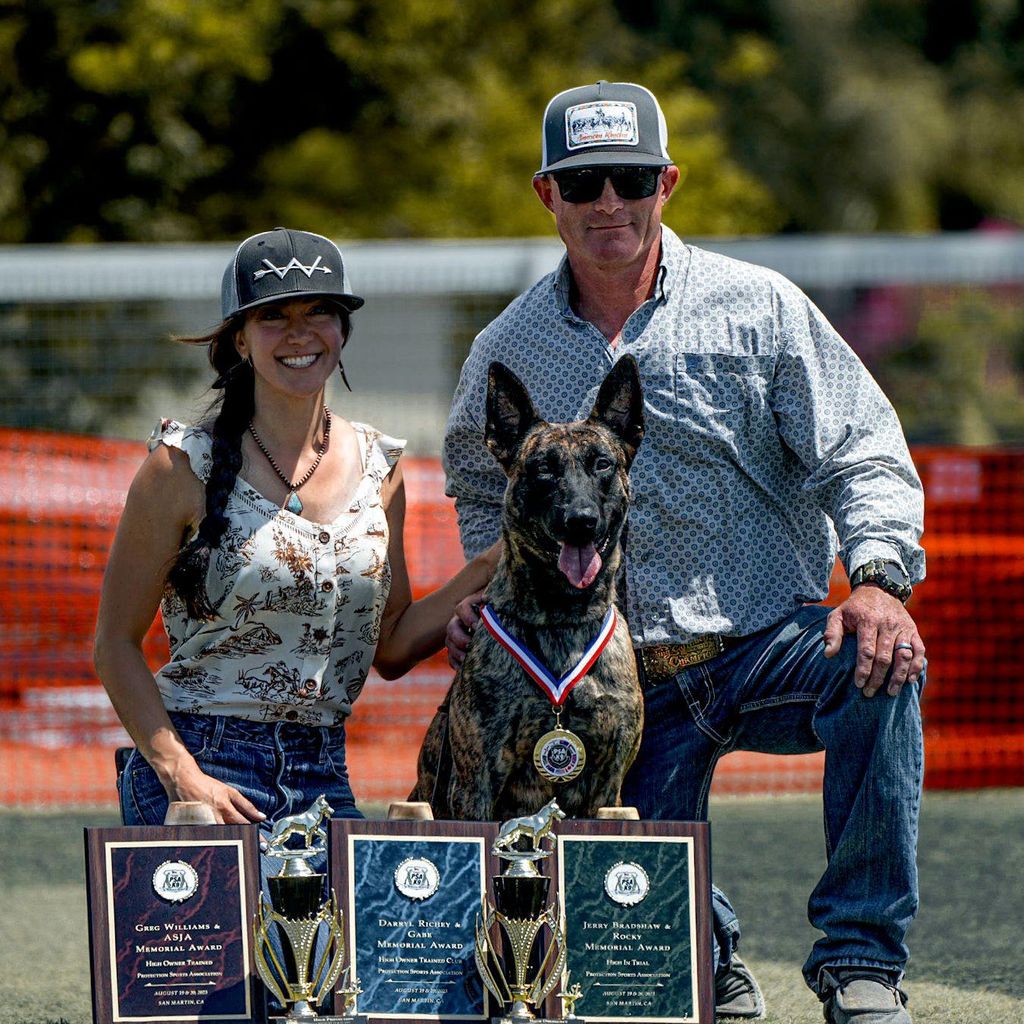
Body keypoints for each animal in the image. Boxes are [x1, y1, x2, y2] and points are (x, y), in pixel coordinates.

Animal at [409, 356, 643, 819]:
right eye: (543, 468)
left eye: (602, 464)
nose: (581, 521)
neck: (562, 618)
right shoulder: (476, 782)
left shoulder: (609, 787)